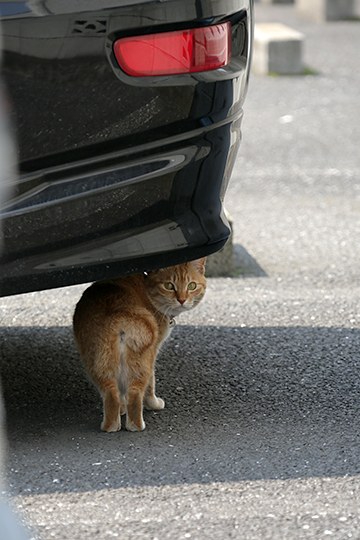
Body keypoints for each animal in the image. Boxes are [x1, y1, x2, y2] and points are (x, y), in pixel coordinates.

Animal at [74, 260, 205, 432]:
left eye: (192, 285)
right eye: (169, 286)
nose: (182, 300)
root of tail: (118, 315)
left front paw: (122, 409)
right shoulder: (154, 351)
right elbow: (151, 385)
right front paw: (154, 404)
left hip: (97, 364)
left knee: (112, 395)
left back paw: (110, 426)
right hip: (141, 363)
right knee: (136, 394)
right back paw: (137, 425)